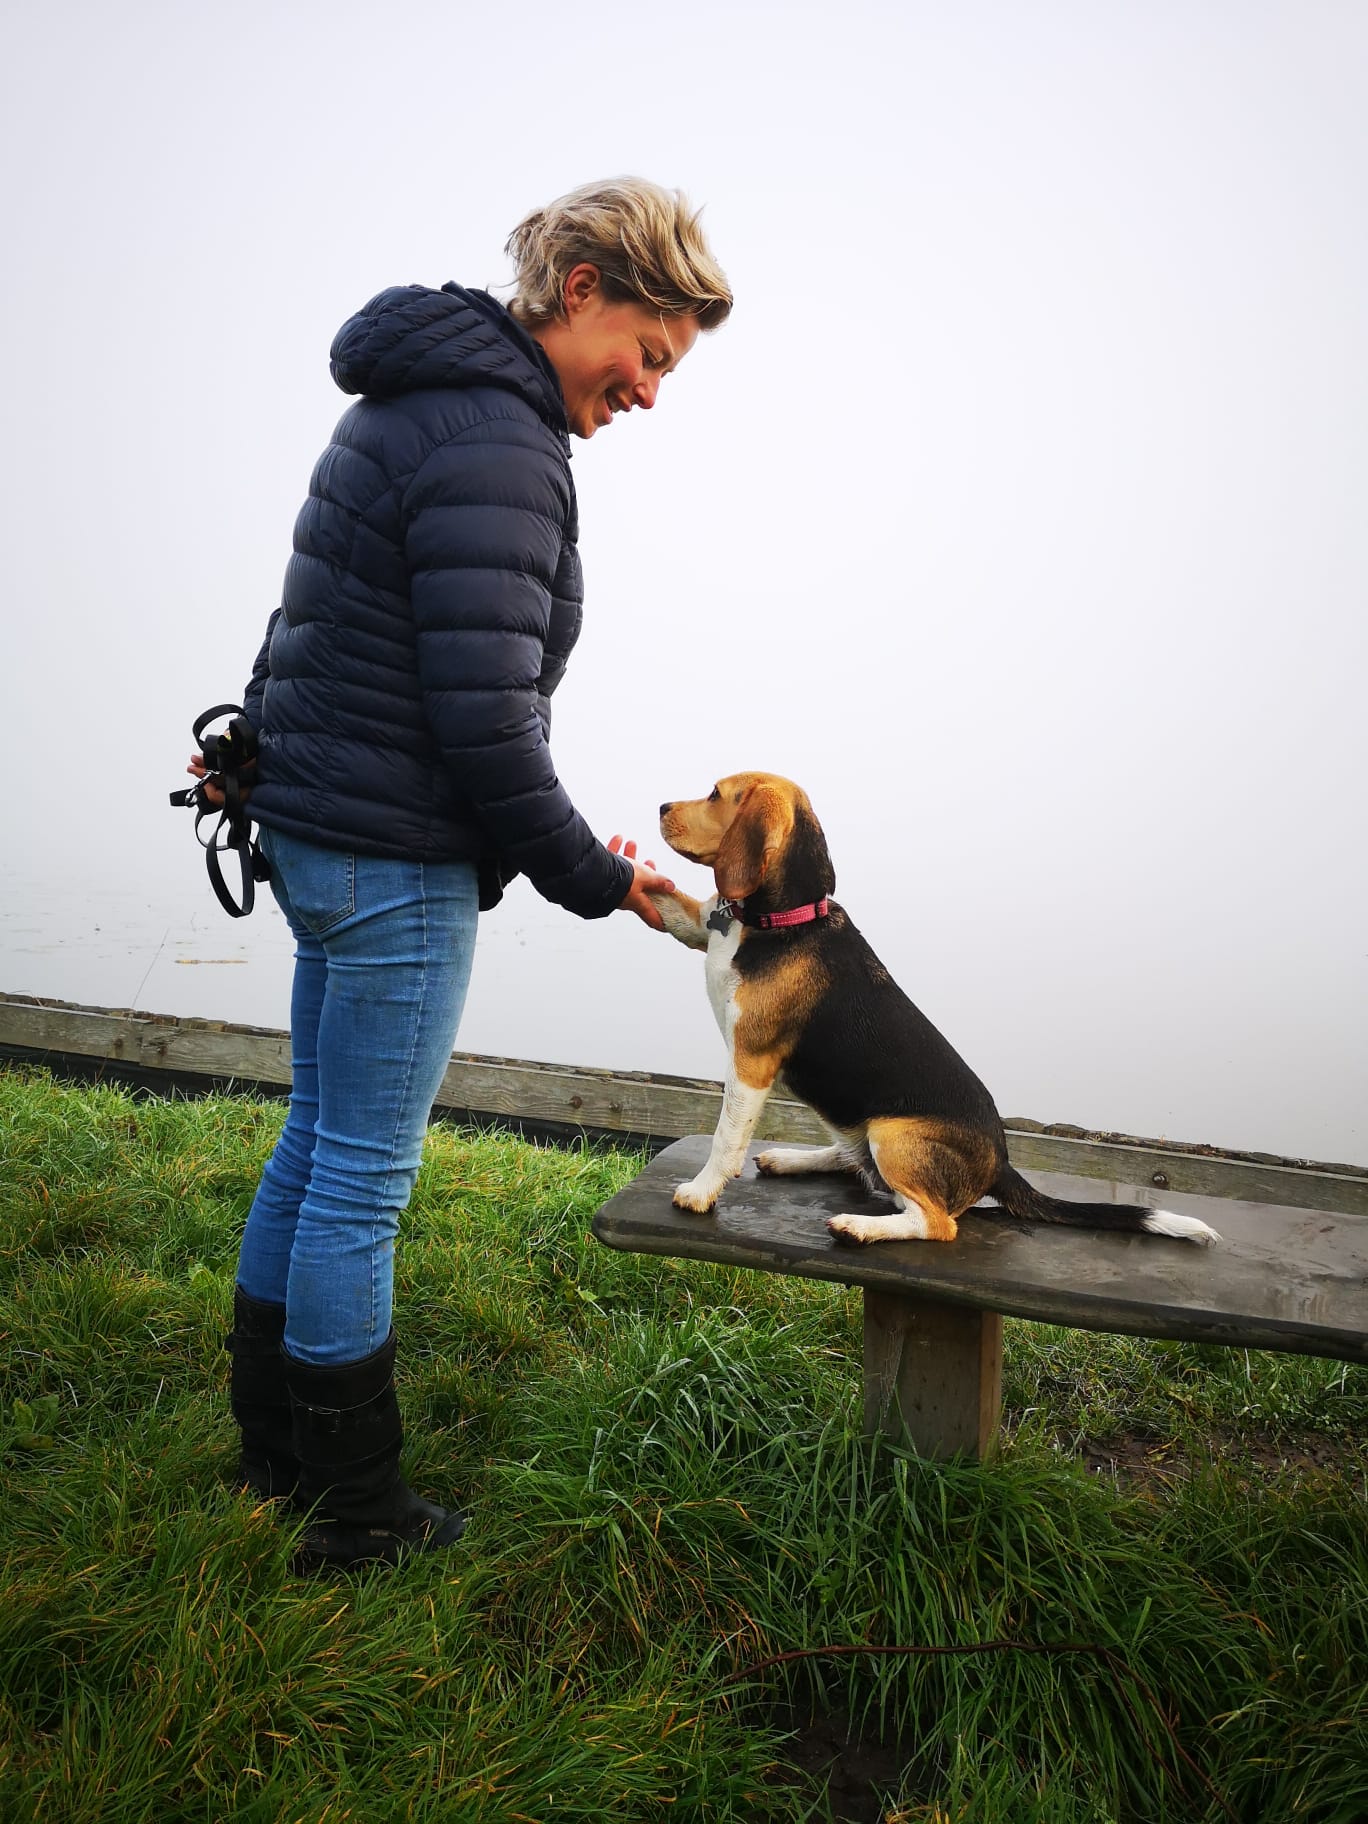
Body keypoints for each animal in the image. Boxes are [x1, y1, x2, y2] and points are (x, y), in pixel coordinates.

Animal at [652, 777, 1218, 1247]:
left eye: (716, 794)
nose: (659, 807)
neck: (784, 918)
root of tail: (1001, 1165)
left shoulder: (751, 1060)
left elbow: (726, 1136)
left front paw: (700, 1192)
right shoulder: (700, 928)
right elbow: (673, 910)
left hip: (893, 1133)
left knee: (936, 1221)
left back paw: (859, 1227)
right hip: (869, 1128)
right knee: (857, 1163)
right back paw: (793, 1159)